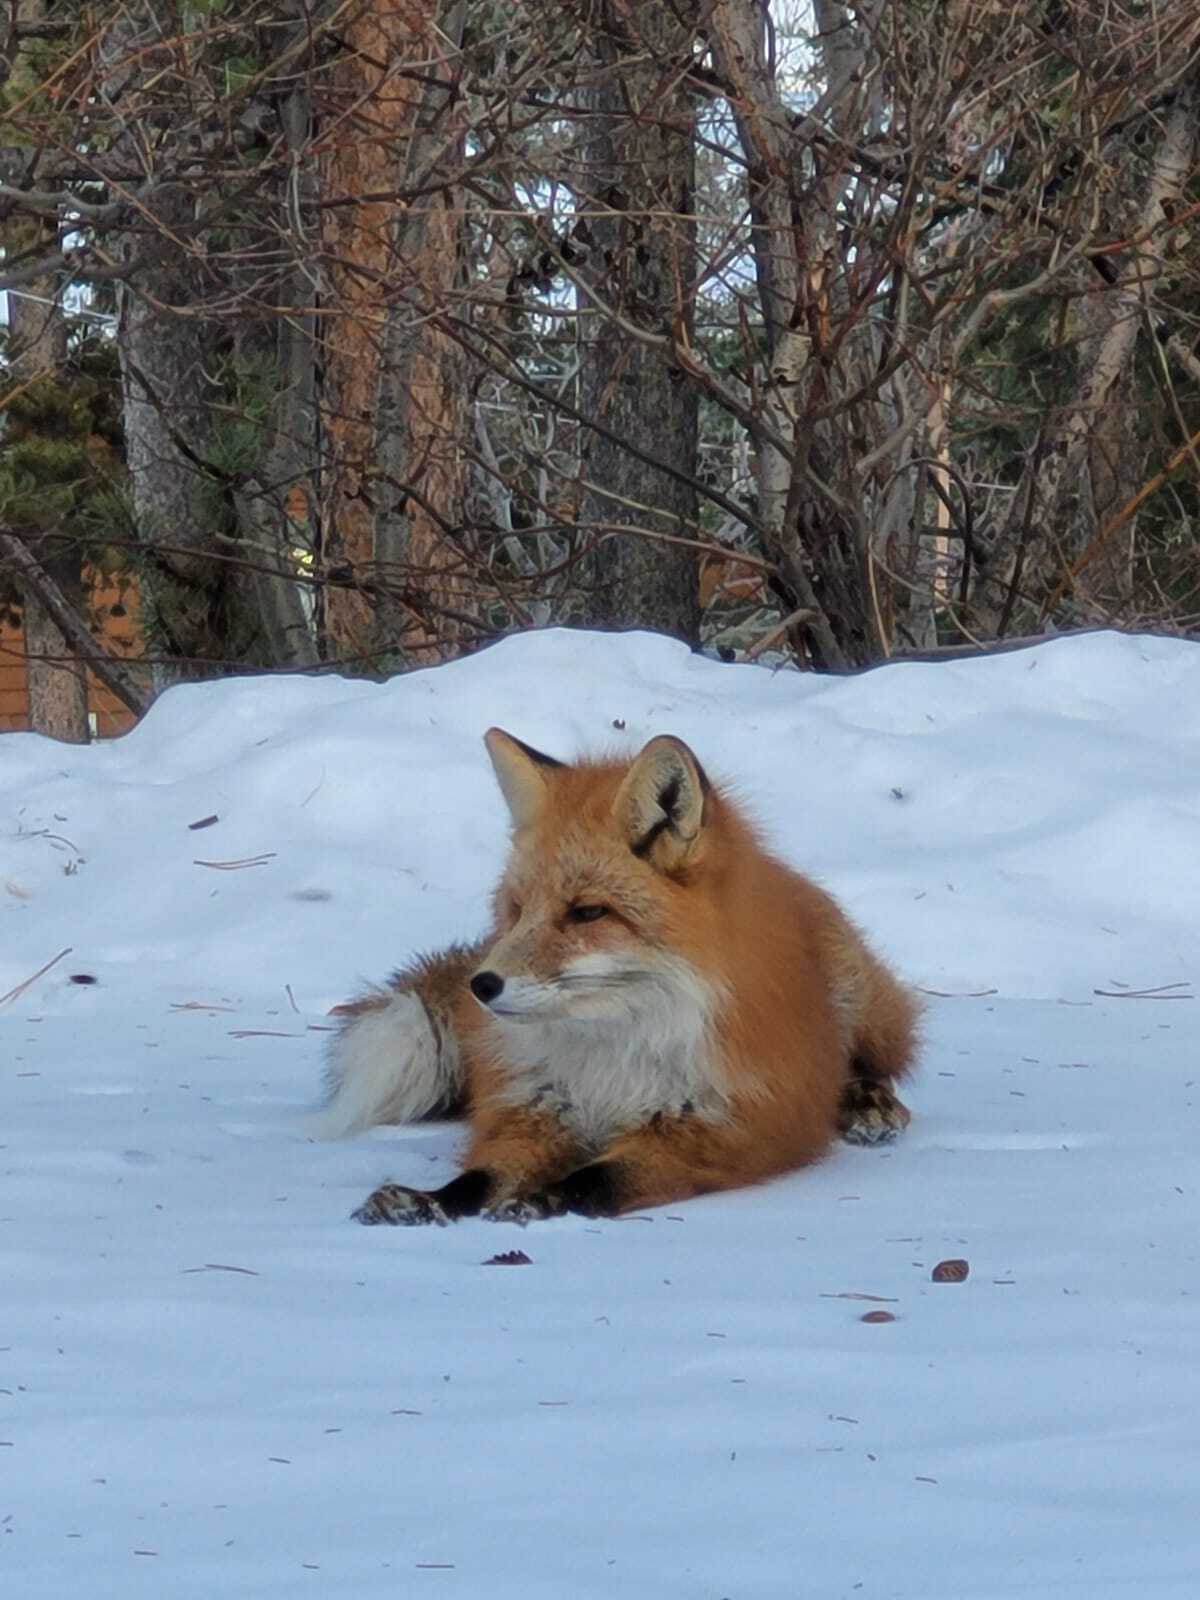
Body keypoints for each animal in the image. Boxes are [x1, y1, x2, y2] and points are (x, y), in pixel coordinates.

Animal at [312, 729, 921, 1222]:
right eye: (518, 910)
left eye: (587, 912)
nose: (480, 986)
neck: (610, 1060)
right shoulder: (532, 1111)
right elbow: (481, 1176)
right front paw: (429, 1200)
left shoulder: (725, 1129)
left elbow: (598, 1177)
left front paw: (543, 1198)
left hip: (856, 996)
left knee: (878, 1062)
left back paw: (867, 1105)